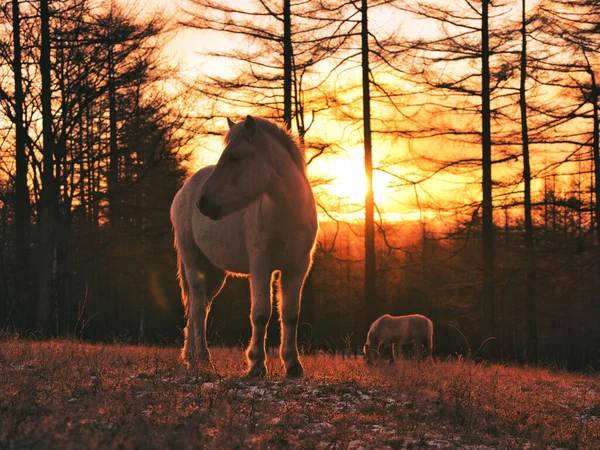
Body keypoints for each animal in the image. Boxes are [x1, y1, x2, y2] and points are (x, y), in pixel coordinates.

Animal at [170, 115, 318, 376]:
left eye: (236, 157)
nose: (203, 204)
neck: (287, 214)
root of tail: (185, 191)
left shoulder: (297, 268)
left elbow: (290, 315)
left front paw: (293, 364)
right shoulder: (261, 266)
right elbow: (260, 313)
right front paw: (256, 364)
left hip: (216, 273)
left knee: (201, 307)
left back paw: (190, 357)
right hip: (193, 263)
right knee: (197, 307)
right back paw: (201, 358)